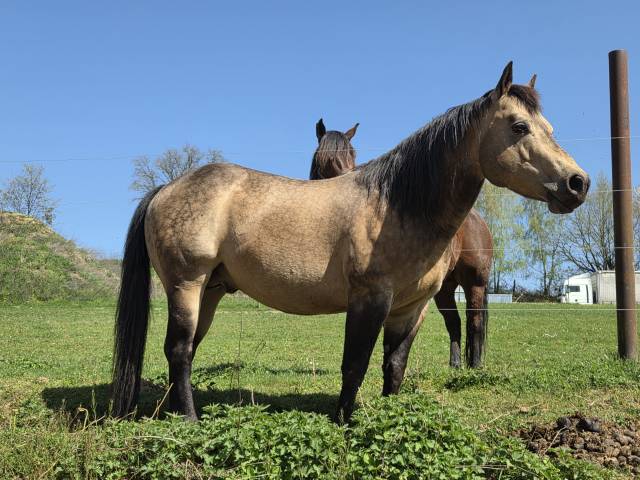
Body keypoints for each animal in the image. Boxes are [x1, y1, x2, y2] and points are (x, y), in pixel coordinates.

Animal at [310, 119, 494, 369]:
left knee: (474, 321)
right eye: (325, 156)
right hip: (444, 288)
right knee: (453, 322)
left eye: (351, 154)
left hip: (474, 282)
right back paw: (455, 363)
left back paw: (474, 364)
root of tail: (479, 221)